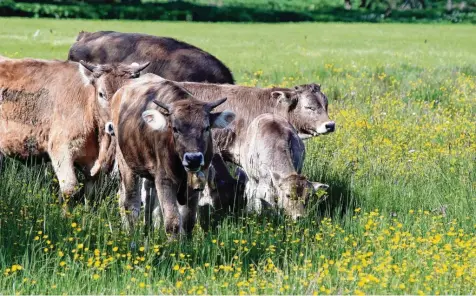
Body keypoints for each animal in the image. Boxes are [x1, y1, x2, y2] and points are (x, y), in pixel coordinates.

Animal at [108, 75, 234, 237]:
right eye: (175, 128)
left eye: (206, 128)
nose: (193, 159)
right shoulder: (165, 180)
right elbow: (172, 222)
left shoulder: (195, 185)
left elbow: (188, 221)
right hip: (126, 164)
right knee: (130, 202)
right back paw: (131, 233)